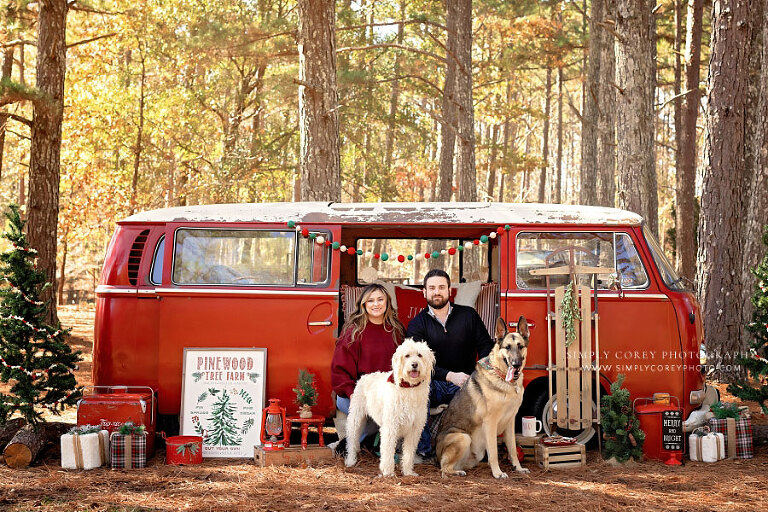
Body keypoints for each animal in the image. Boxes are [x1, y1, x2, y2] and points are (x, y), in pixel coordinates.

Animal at [436, 314, 532, 478]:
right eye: (507, 347)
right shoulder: (490, 423)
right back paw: (457, 472)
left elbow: (513, 449)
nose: (516, 364)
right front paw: (498, 473)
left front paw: (518, 468)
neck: (503, 378)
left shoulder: (510, 422)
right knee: (444, 467)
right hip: (463, 437)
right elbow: (493, 452)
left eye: (520, 346)